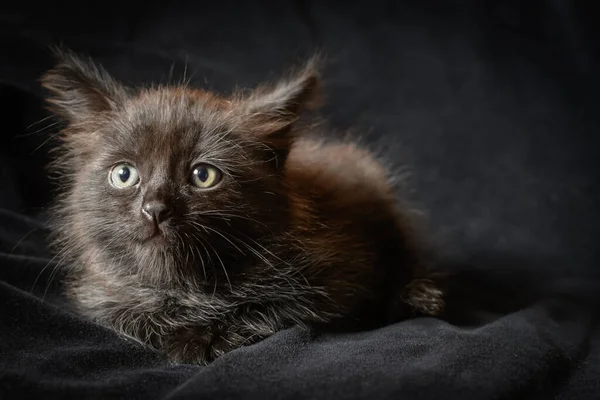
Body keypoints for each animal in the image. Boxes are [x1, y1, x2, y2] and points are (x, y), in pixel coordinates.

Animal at [42, 47, 442, 366]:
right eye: (124, 175)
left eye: (203, 175)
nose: (155, 209)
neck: (185, 287)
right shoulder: (97, 295)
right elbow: (124, 315)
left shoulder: (338, 276)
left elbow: (271, 308)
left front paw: (201, 340)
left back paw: (422, 294)